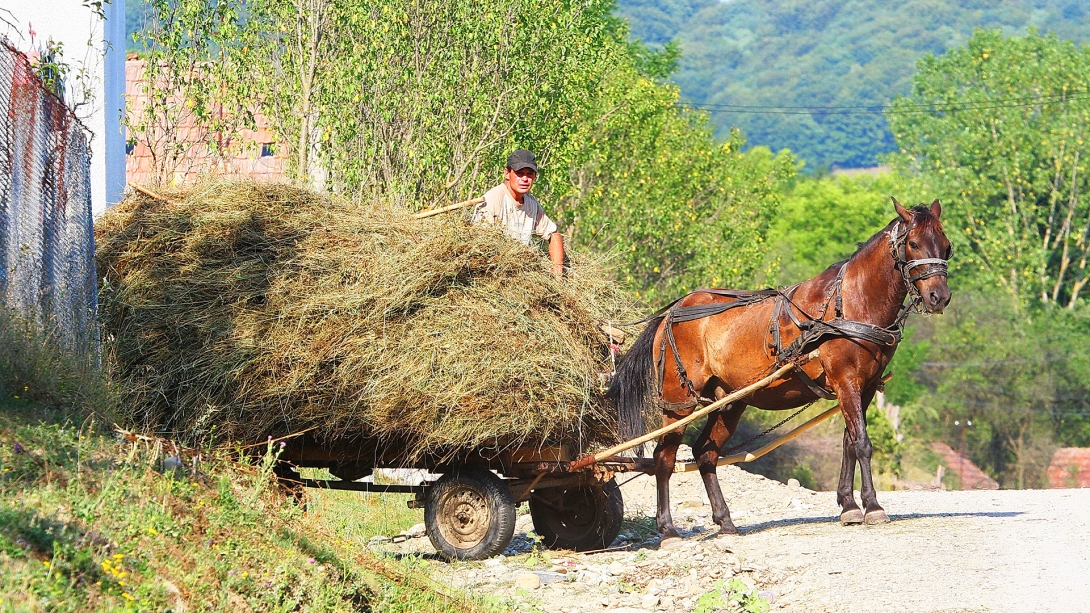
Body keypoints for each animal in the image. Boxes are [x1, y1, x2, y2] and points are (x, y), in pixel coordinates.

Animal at [610, 198, 950, 532]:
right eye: (914, 244)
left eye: (946, 247)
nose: (939, 297)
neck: (850, 303)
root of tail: (671, 313)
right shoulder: (846, 381)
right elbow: (863, 443)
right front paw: (873, 507)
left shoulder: (863, 388)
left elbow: (849, 443)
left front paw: (849, 505)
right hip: (679, 400)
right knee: (664, 457)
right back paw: (667, 529)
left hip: (729, 401)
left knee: (705, 453)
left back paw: (725, 521)